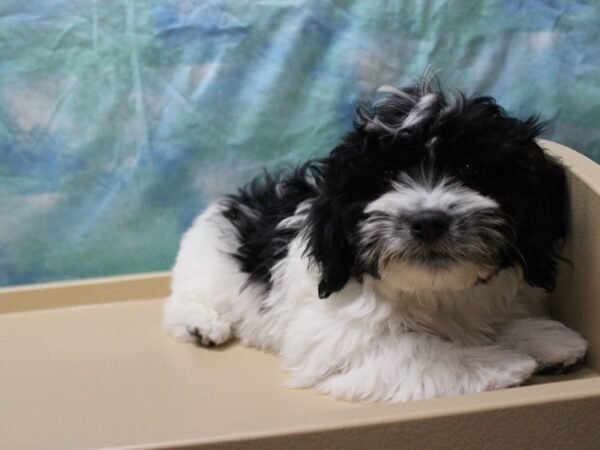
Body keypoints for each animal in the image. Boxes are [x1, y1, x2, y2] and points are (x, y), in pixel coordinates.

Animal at [163, 82, 584, 402]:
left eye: (471, 169)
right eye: (385, 175)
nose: (428, 221)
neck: (433, 291)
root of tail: (227, 205)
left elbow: (492, 317)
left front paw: (543, 339)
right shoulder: (336, 335)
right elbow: (415, 348)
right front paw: (498, 363)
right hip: (209, 270)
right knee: (185, 301)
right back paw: (202, 325)